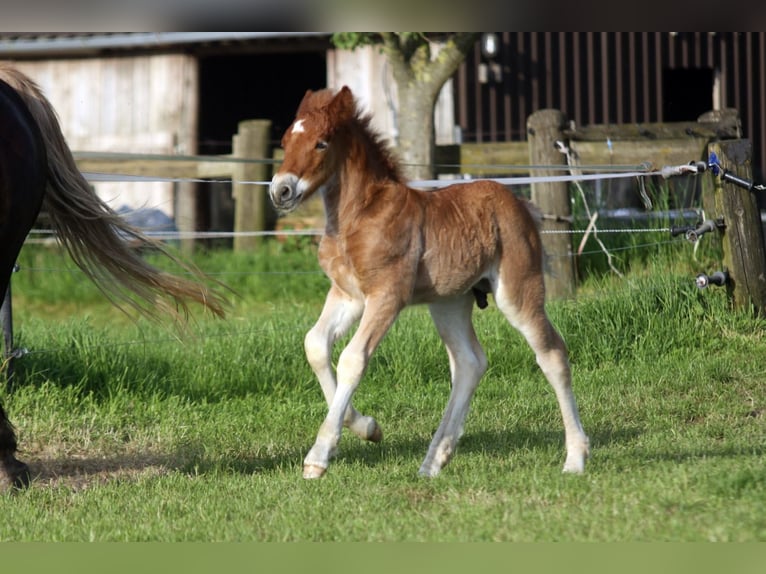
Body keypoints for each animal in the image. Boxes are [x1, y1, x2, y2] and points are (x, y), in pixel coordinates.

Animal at [268, 86, 592, 482]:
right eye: (285, 141)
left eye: (321, 143)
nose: (280, 191)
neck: (359, 216)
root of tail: (520, 202)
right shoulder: (347, 294)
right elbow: (315, 345)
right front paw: (367, 427)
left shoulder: (387, 295)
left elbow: (352, 360)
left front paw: (319, 456)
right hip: (449, 303)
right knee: (469, 363)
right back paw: (434, 459)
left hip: (518, 291)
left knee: (551, 353)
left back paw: (575, 457)